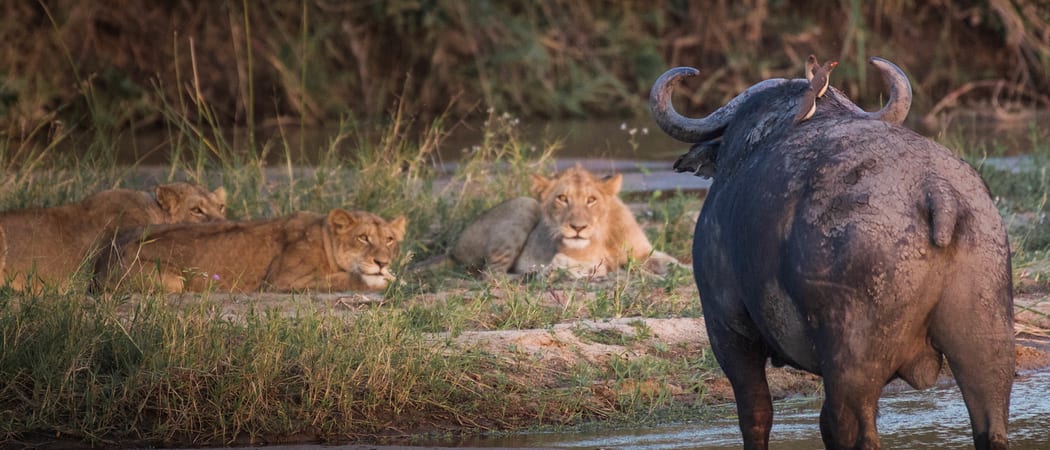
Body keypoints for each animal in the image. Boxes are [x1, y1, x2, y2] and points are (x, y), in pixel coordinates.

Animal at [94, 209, 407, 293]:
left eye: (390, 240)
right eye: (363, 238)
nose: (381, 262)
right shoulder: (282, 281)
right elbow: (347, 278)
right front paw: (379, 280)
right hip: (173, 282)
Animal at [450, 166, 685, 278]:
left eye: (591, 200)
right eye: (562, 198)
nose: (578, 228)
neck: (602, 236)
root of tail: (454, 247)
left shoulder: (643, 252)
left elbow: (672, 262)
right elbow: (580, 263)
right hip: (526, 205)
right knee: (492, 275)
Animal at [650, 57, 1014, 449]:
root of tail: (937, 191)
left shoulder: (727, 328)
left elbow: (755, 414)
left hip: (851, 360)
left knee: (848, 428)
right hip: (987, 344)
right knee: (991, 426)